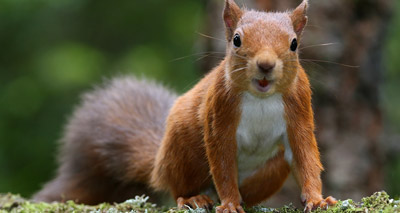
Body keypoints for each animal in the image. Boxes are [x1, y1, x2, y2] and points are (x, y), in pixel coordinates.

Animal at [32, 0, 336, 212]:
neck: (261, 97)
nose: (265, 65)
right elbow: (222, 163)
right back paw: (194, 198)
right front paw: (229, 203)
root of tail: (159, 165)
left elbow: (305, 156)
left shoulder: (299, 108)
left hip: (271, 170)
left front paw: (317, 199)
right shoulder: (218, 111)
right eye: (237, 39)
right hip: (183, 152)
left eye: (294, 44)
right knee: (179, 187)